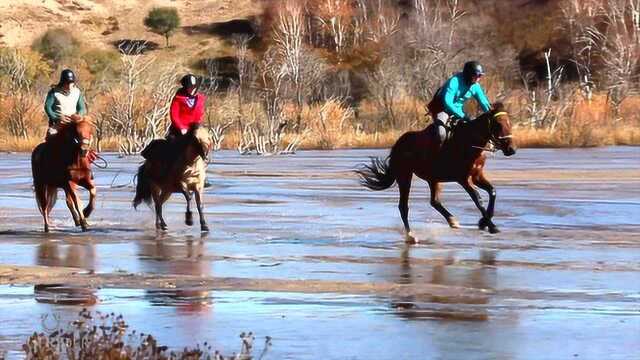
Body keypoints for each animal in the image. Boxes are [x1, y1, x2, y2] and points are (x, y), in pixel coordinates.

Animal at [358, 102, 516, 240]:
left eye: (510, 123)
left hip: (432, 178)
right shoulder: (463, 179)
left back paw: (452, 221)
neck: (470, 141)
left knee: (434, 201)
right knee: (403, 206)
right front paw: (492, 226)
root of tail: (398, 144)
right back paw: (411, 236)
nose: (511, 150)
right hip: (405, 176)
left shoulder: (476, 175)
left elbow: (492, 192)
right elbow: (478, 199)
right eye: (498, 124)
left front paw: (483, 222)